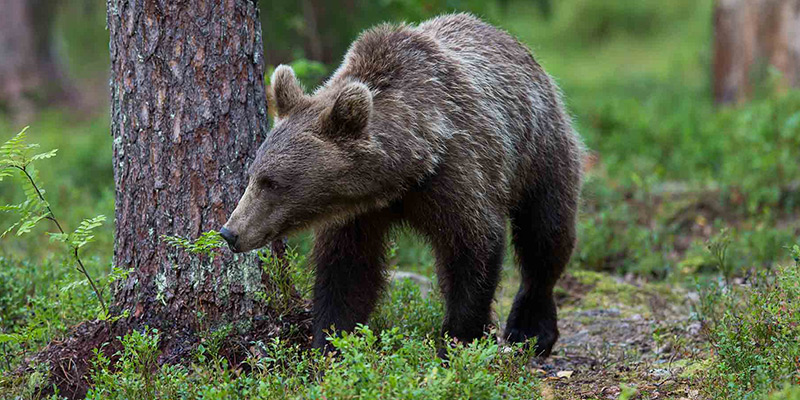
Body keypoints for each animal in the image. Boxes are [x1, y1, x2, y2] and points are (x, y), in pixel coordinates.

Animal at [220, 13, 584, 357]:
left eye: (273, 182)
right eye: (252, 174)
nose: (230, 232)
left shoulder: (458, 174)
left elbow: (473, 248)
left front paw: (458, 340)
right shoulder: (356, 215)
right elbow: (348, 272)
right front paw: (330, 342)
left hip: (541, 149)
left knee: (545, 234)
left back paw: (531, 330)